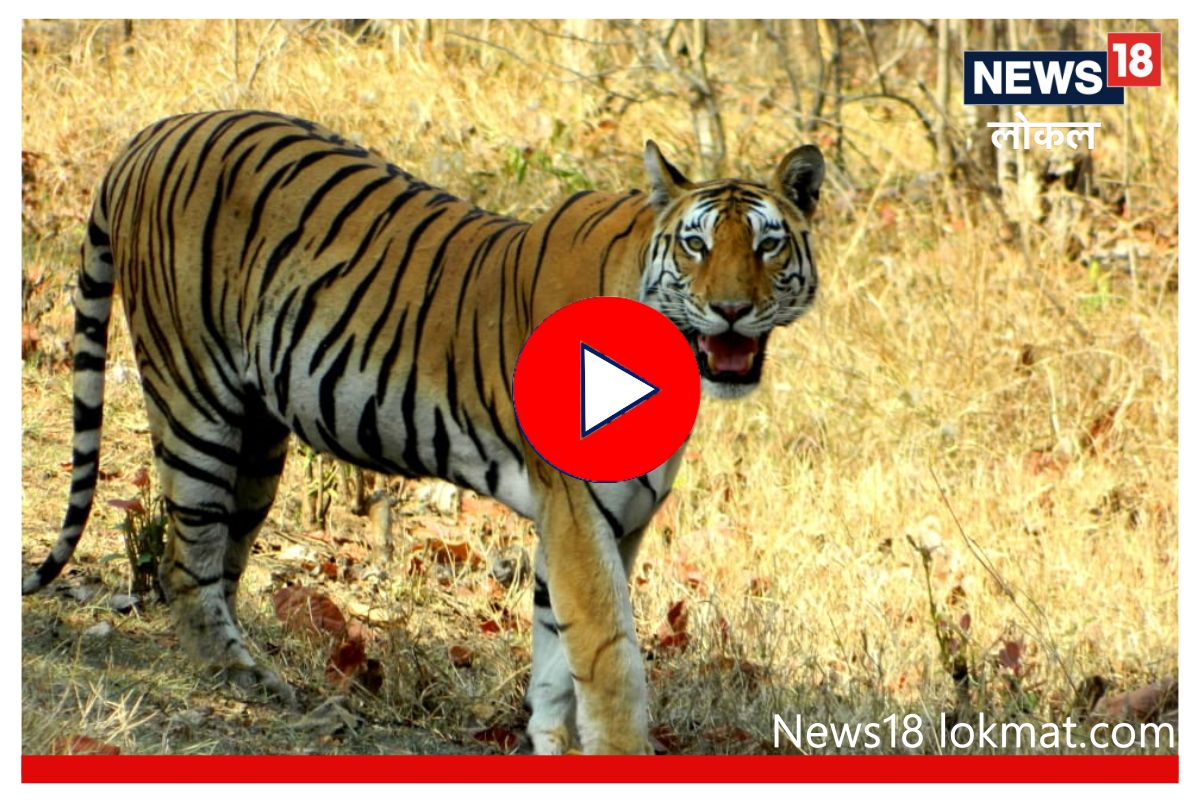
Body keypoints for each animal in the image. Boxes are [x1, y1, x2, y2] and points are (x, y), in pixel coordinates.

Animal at [23, 110, 823, 754]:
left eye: (768, 246)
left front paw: (554, 745)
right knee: (185, 561)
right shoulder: (579, 512)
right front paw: (621, 754)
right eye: (696, 246)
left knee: (221, 555)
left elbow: (555, 656)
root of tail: (153, 134)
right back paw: (241, 677)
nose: (730, 310)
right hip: (194, 394)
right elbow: (608, 657)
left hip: (256, 436)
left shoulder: (611, 519)